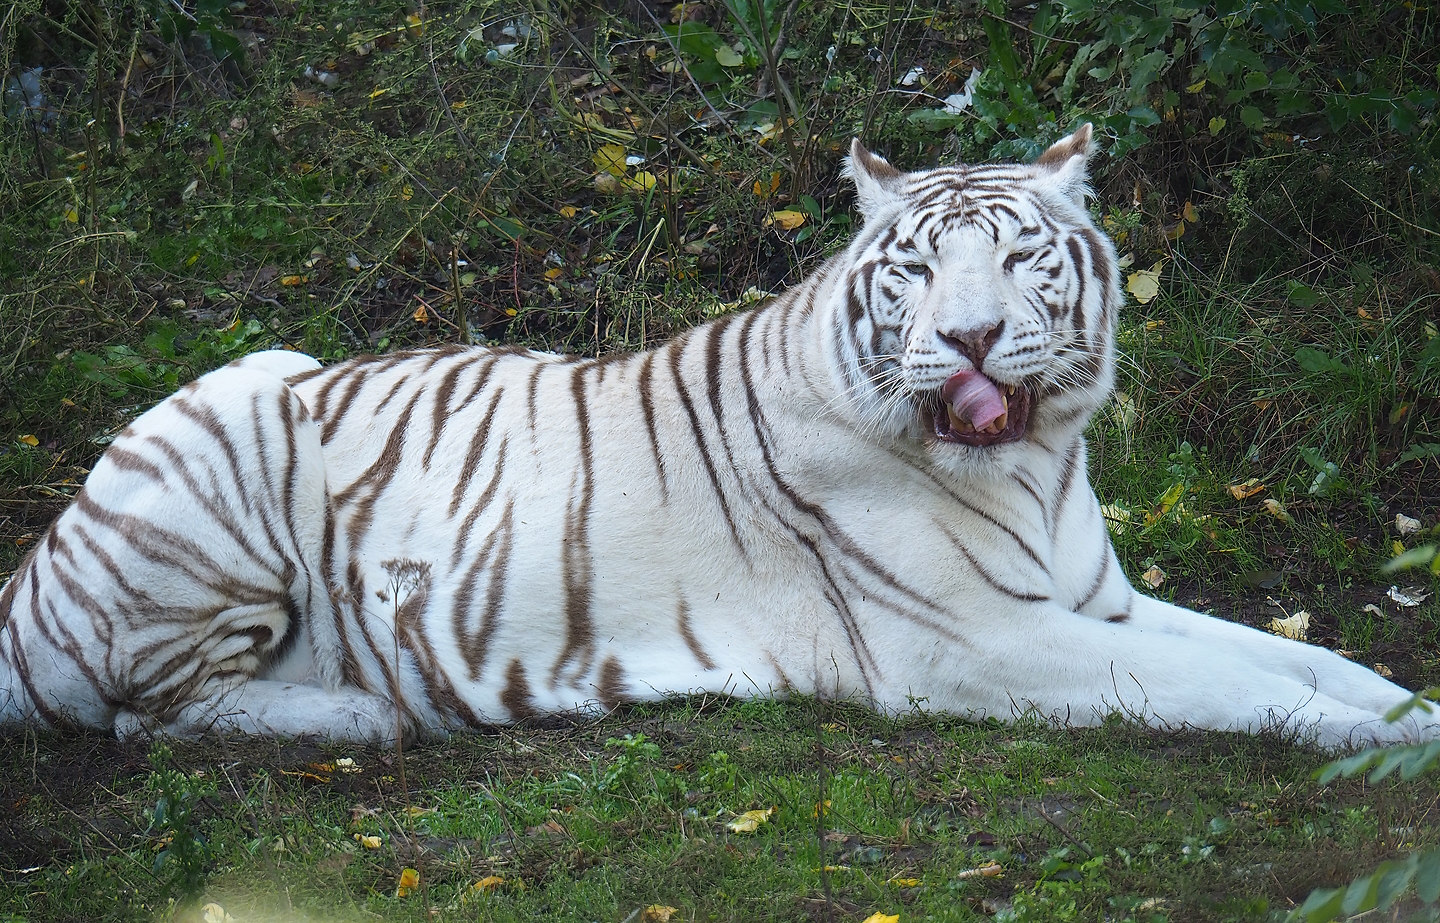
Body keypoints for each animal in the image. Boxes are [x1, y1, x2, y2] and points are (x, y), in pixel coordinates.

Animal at [2, 125, 1436, 748]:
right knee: (146, 717)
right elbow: (1222, 685)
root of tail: (25, 585)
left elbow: (1292, 651)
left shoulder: (1096, 600)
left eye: (1023, 257)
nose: (972, 339)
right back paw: (371, 710)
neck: (1035, 465)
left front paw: (1400, 705)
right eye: (917, 271)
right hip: (231, 431)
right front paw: (1379, 739)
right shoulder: (977, 643)